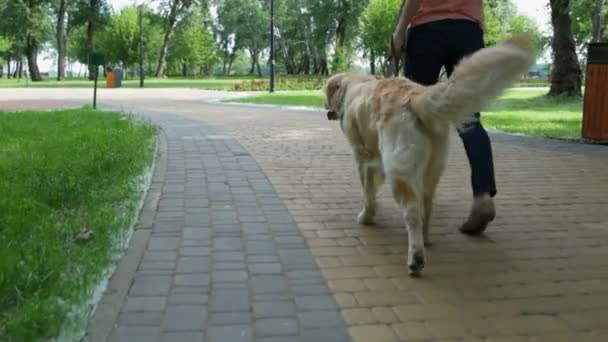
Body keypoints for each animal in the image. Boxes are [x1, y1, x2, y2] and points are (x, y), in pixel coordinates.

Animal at [324, 34, 532, 276]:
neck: (354, 87)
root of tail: (416, 97)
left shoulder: (361, 156)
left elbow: (368, 191)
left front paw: (366, 217)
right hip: (432, 170)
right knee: (427, 206)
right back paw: (427, 239)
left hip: (400, 170)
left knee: (413, 211)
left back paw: (416, 258)